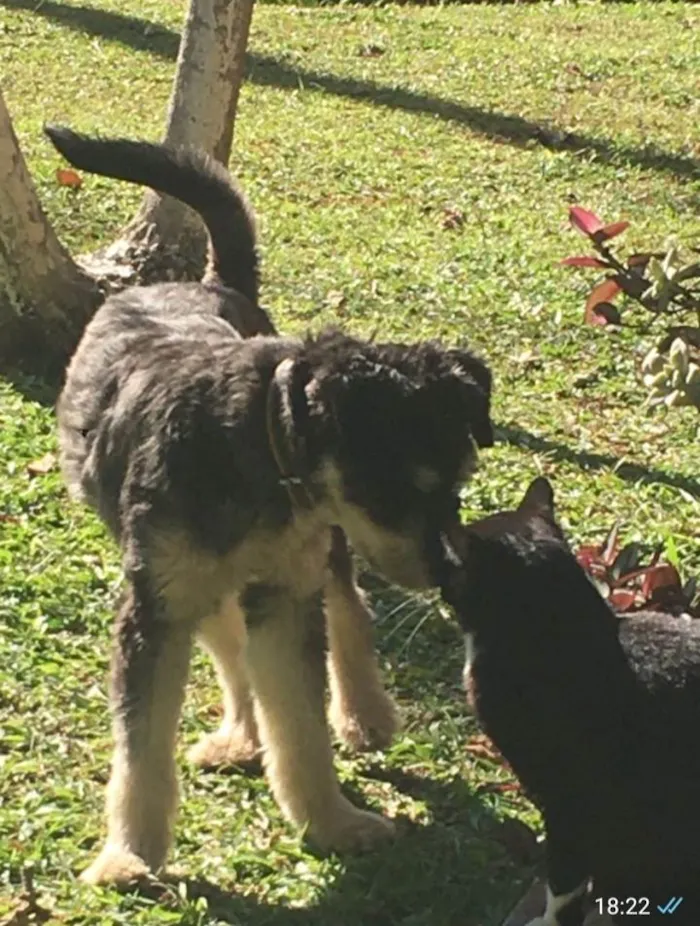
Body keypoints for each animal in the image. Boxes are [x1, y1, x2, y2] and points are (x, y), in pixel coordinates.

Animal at [46, 127, 492, 888]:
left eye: (457, 481)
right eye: (398, 488)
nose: (449, 575)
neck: (250, 431)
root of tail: (210, 282)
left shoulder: (287, 593)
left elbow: (302, 722)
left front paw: (333, 822)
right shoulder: (157, 606)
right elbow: (143, 741)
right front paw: (129, 854)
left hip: (322, 554)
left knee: (348, 607)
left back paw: (365, 713)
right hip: (194, 577)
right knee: (230, 640)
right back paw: (239, 735)